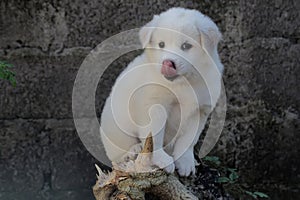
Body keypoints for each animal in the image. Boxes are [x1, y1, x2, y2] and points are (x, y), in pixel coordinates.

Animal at [101, 7, 223, 177]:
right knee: (117, 154)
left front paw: (185, 162)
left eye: (186, 46)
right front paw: (162, 160)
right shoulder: (154, 106)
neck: (183, 83)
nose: (167, 63)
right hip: (115, 126)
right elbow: (154, 137)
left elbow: (187, 141)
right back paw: (132, 150)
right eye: (161, 44)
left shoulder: (199, 112)